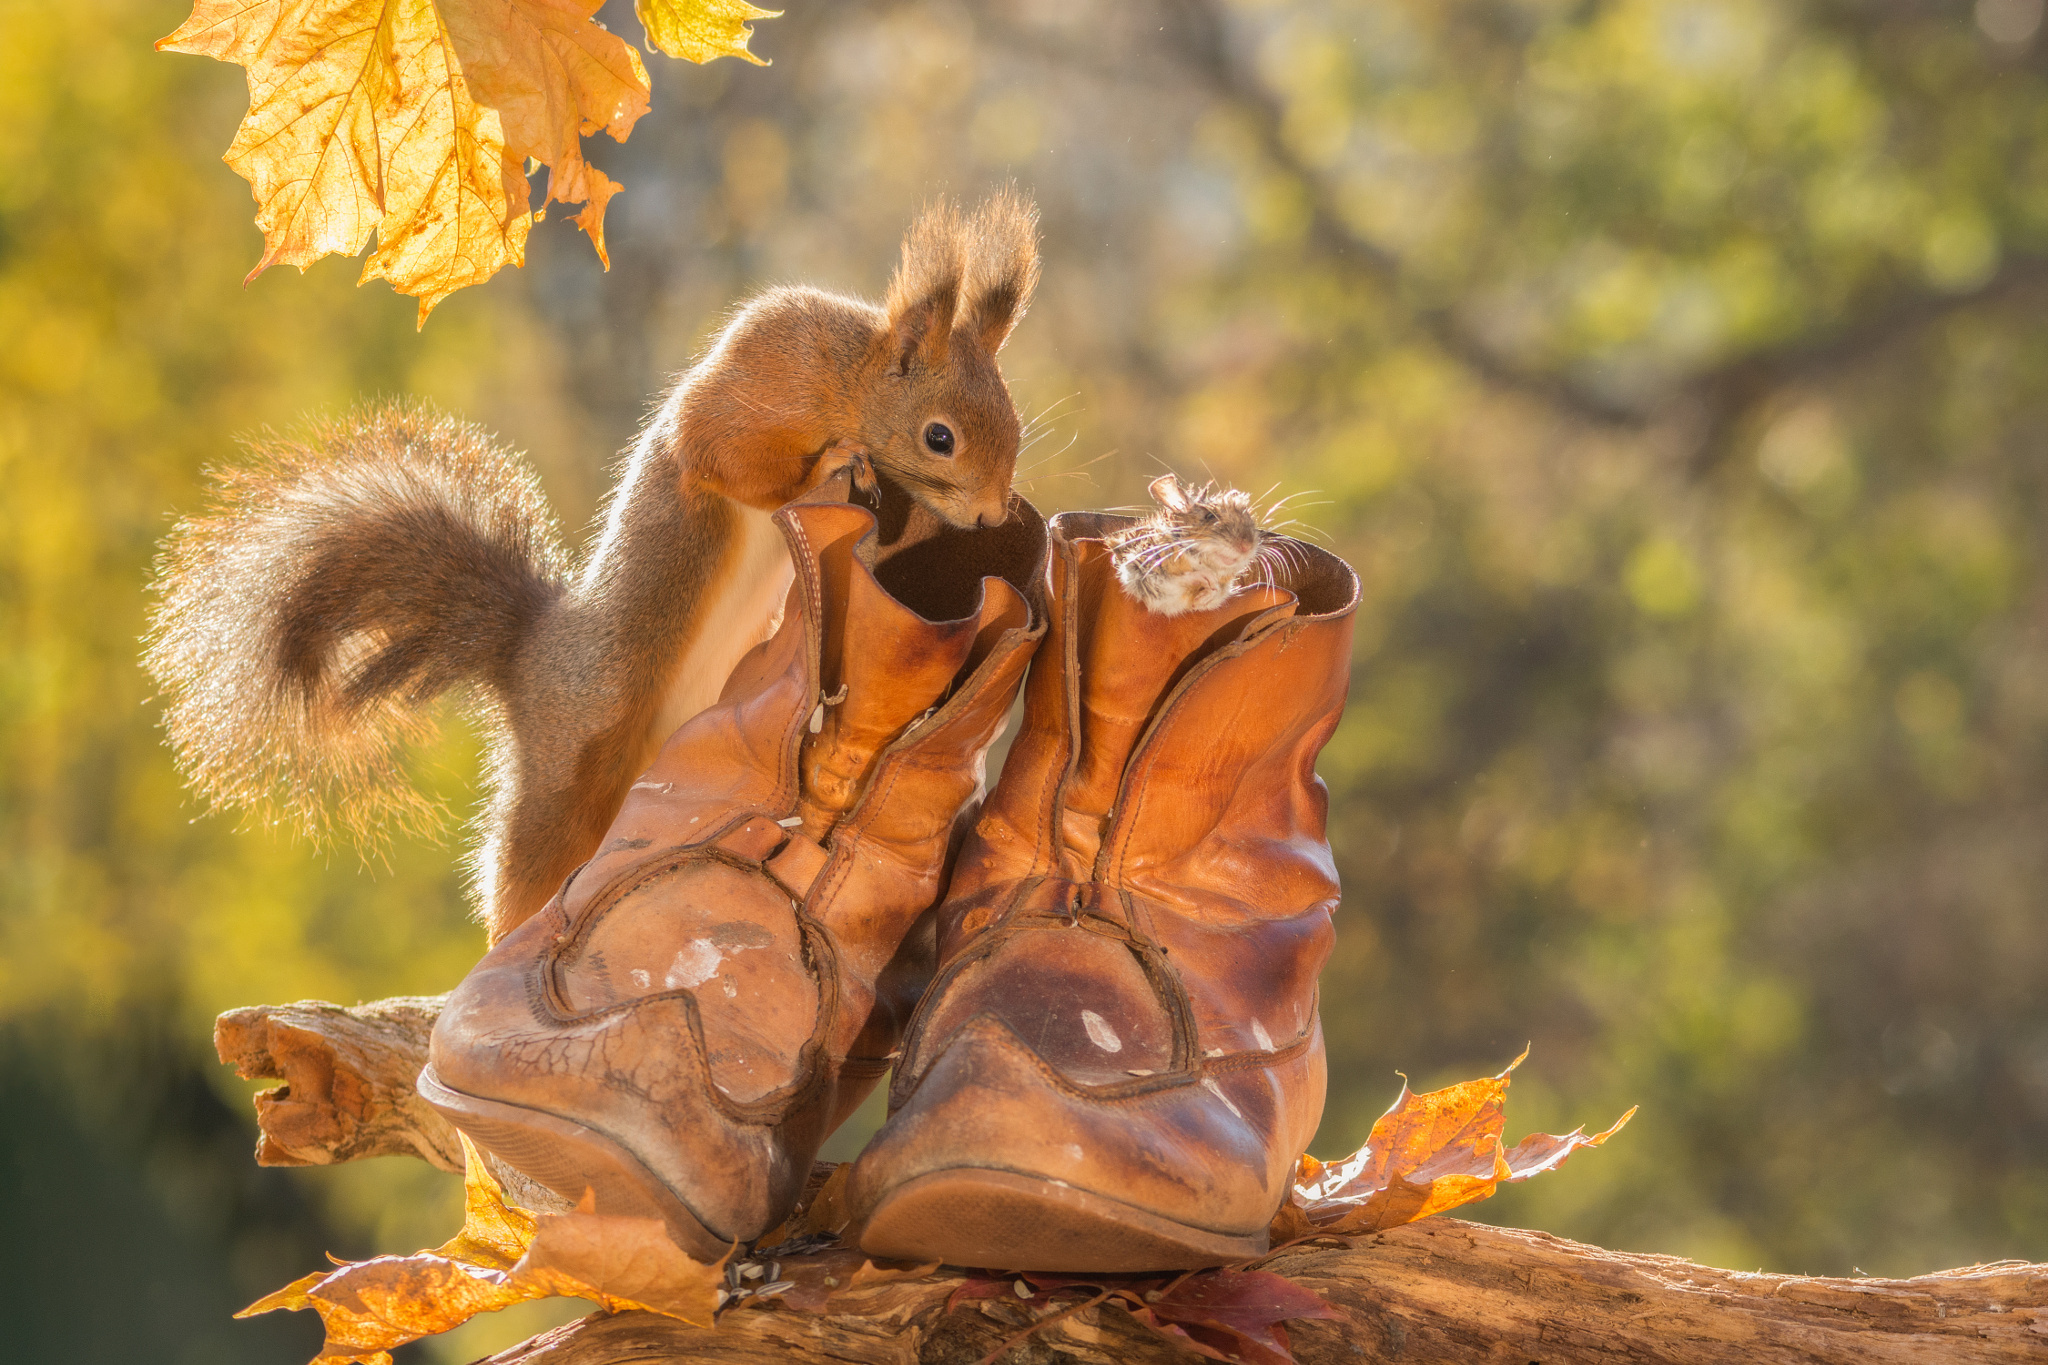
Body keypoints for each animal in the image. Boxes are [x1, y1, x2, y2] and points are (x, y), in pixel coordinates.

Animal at [148, 189, 1040, 941]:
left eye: (1013, 421)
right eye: (939, 436)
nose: (995, 514)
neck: (849, 378)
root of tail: (528, 659)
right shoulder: (757, 387)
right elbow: (723, 456)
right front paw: (834, 465)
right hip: (574, 763)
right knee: (527, 869)